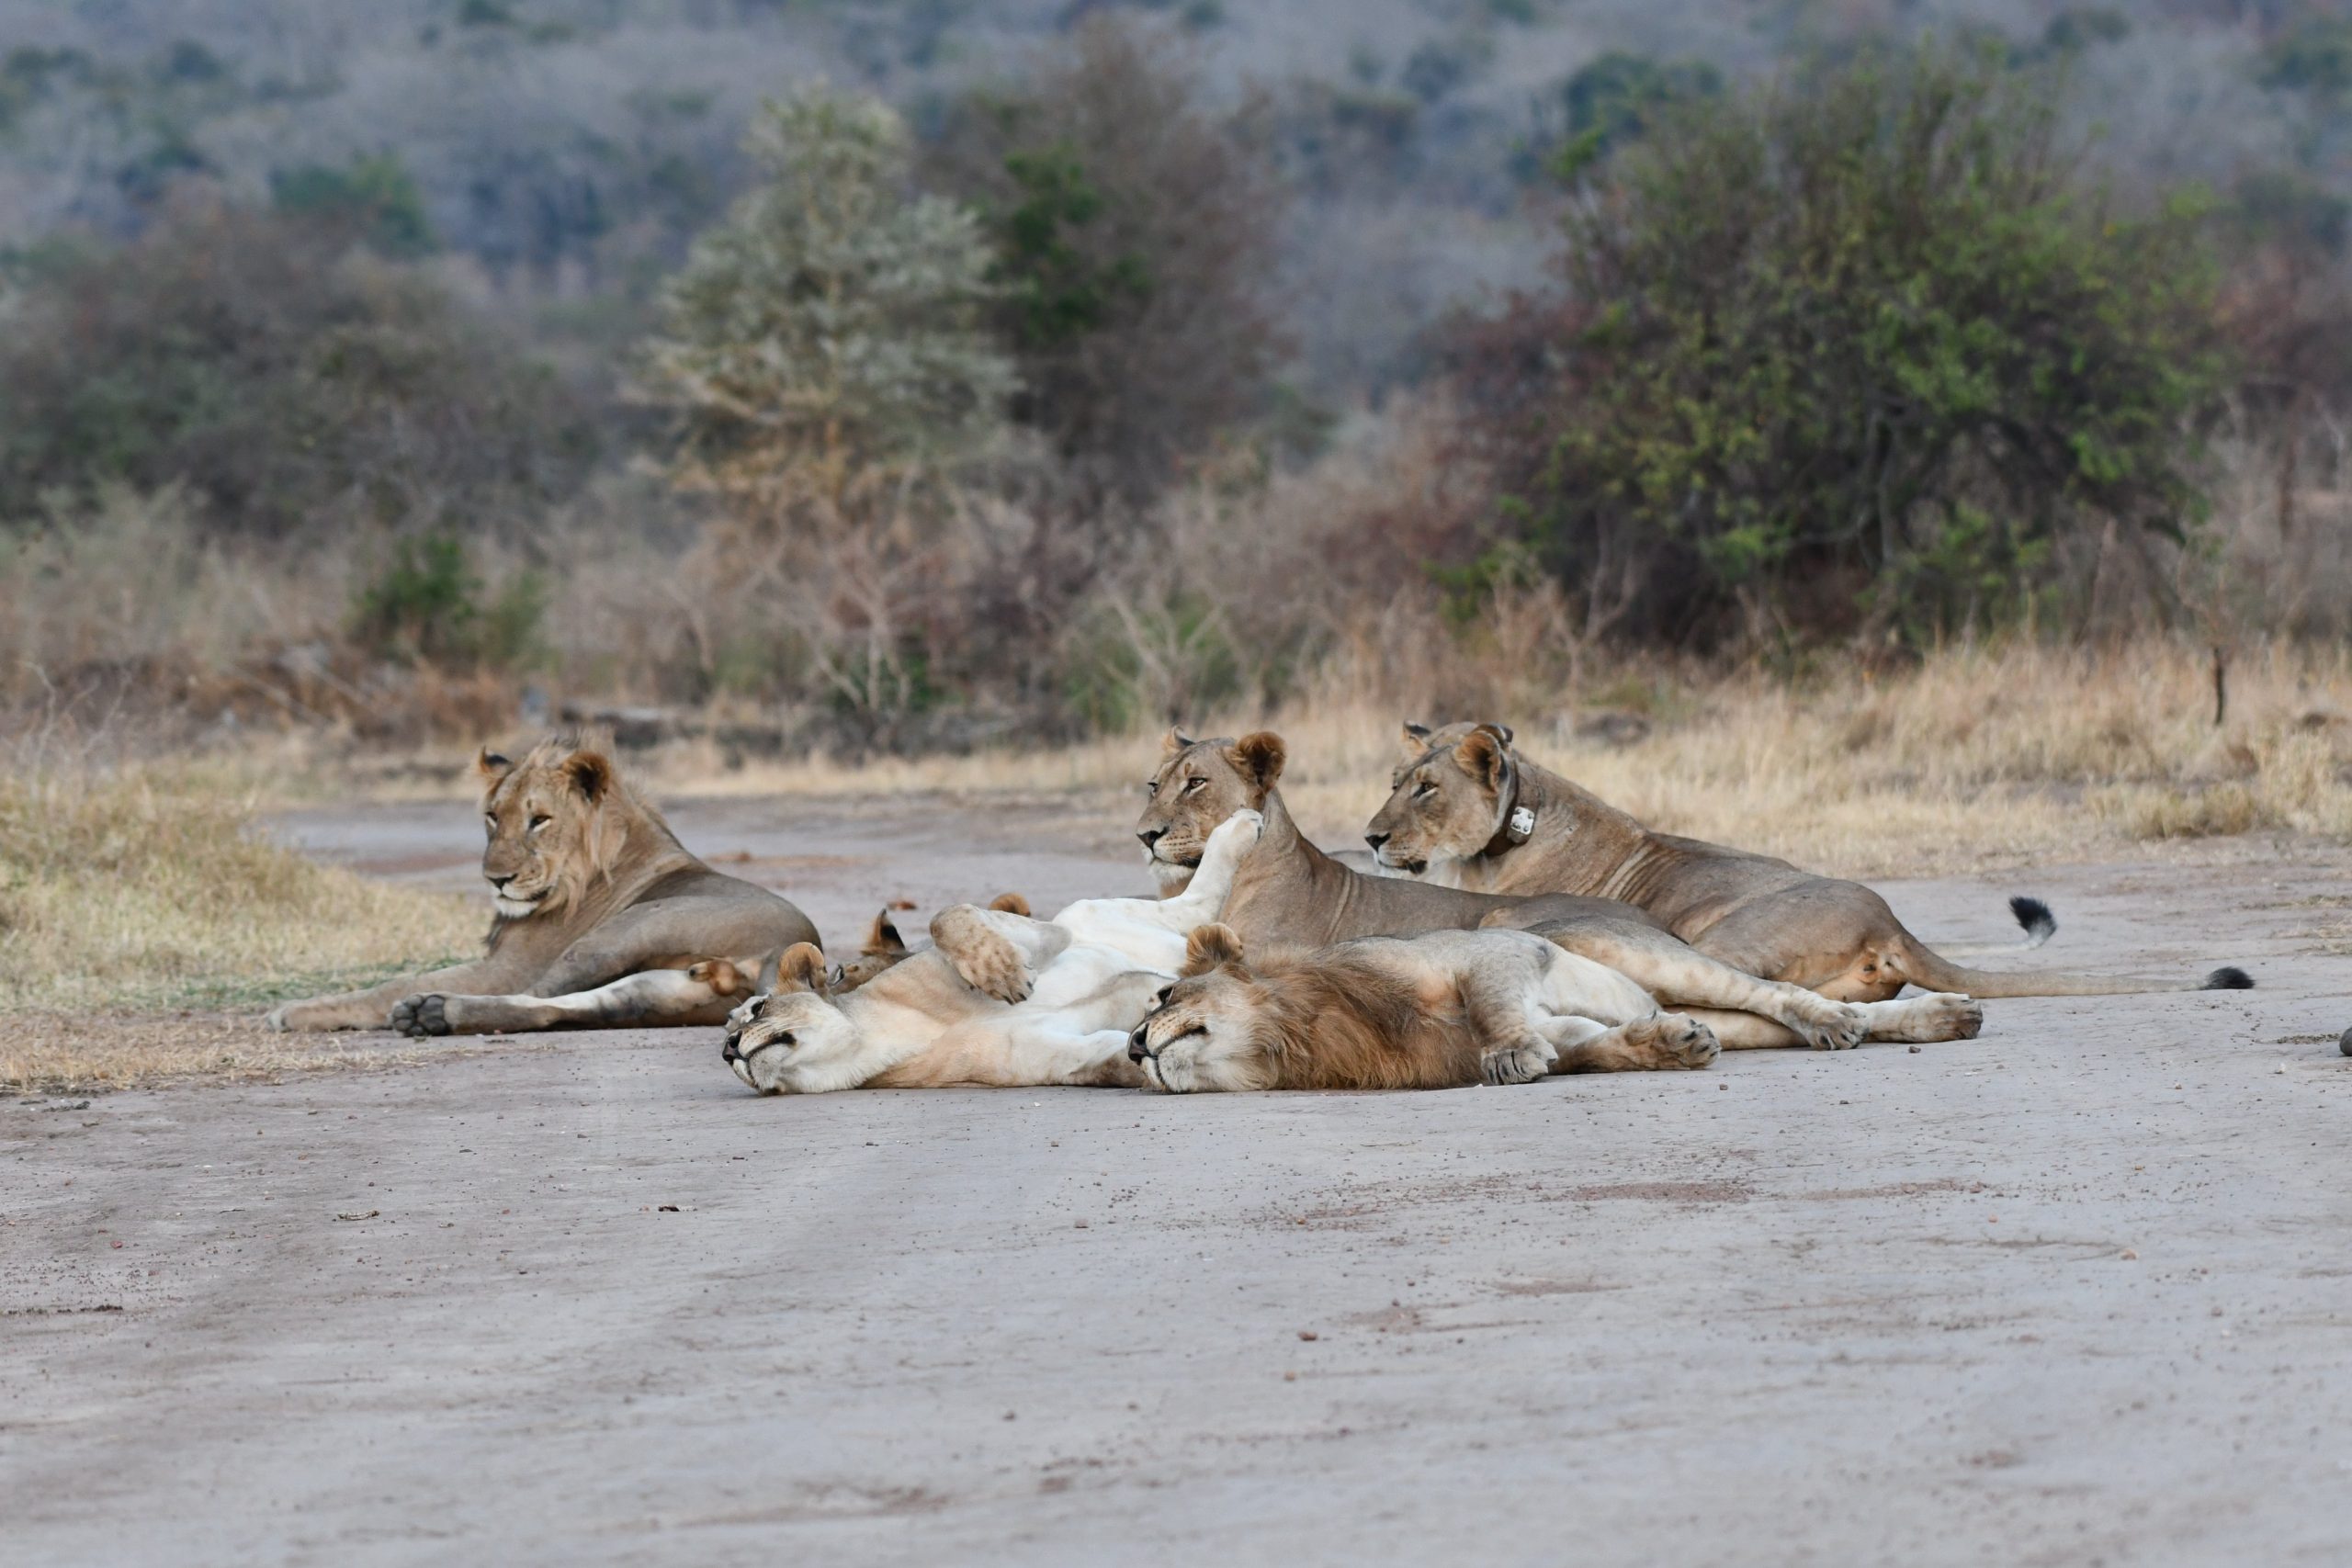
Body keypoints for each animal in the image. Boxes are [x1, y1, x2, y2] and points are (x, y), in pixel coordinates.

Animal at [266, 738, 813, 1034]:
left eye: (540, 820)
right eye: (492, 816)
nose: (496, 879)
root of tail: (789, 949)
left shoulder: (507, 965)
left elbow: (388, 985)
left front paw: (291, 1011)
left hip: (616, 936)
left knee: (536, 993)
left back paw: (428, 1009)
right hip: (663, 990)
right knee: (560, 1008)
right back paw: (433, 1016)